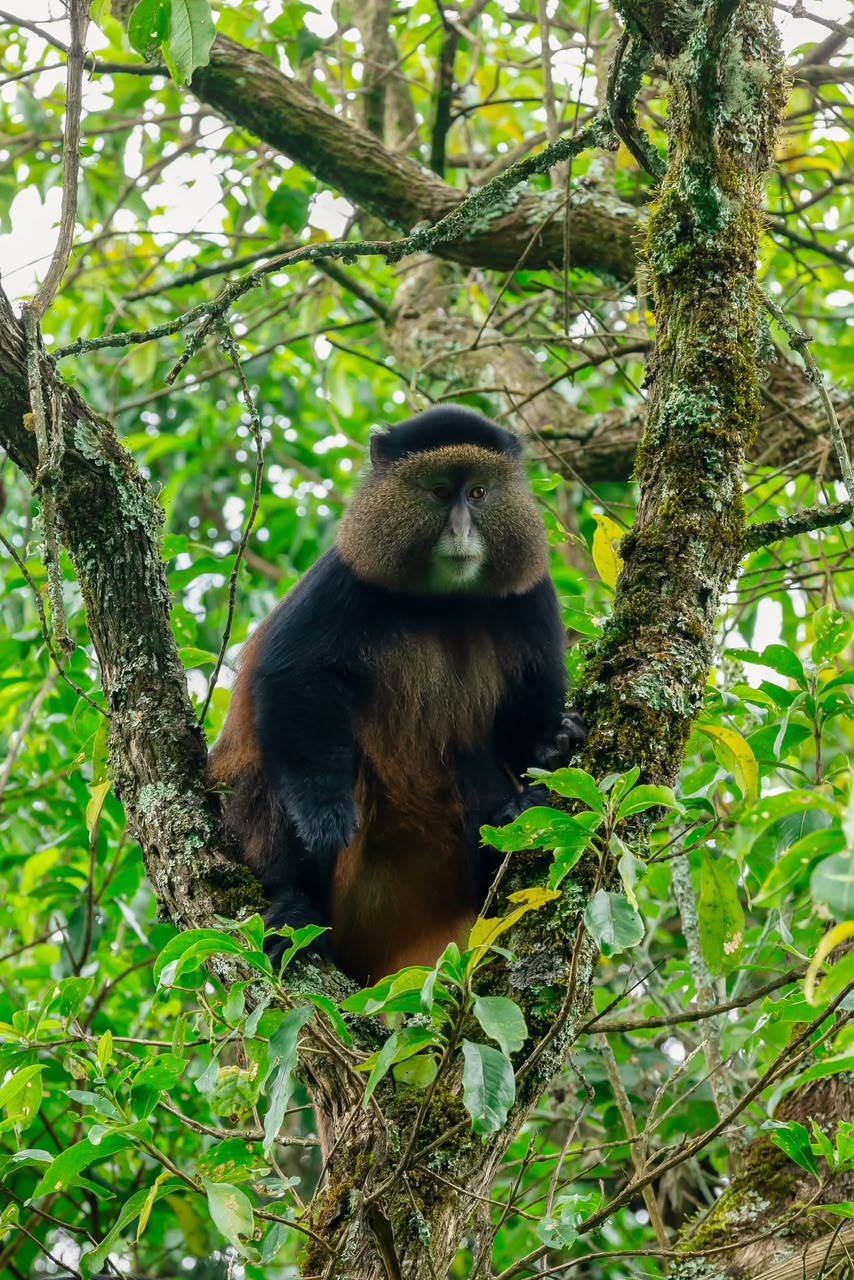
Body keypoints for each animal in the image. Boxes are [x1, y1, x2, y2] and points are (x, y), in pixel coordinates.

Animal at [208, 406, 585, 985]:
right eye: (438, 492)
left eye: (478, 493)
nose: (460, 530)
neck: (442, 602)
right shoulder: (345, 577)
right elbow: (294, 676)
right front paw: (323, 811)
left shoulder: (532, 592)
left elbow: (525, 719)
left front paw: (556, 744)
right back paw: (296, 906)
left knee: (470, 761)